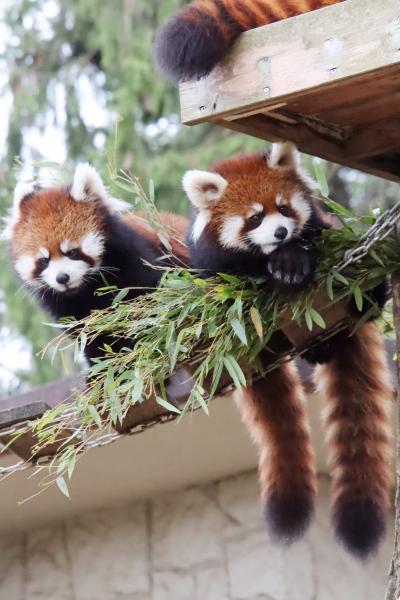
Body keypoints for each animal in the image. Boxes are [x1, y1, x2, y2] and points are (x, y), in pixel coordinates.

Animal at [4, 162, 189, 364]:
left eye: (72, 252)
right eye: (44, 260)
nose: (62, 278)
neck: (88, 289)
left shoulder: (138, 264)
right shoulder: (68, 308)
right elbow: (94, 336)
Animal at [184, 142, 394, 556]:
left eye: (283, 208)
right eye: (254, 218)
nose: (281, 232)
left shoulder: (319, 228)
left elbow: (311, 246)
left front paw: (291, 262)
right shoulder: (213, 270)